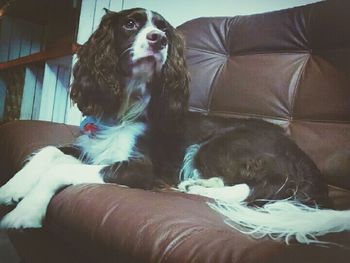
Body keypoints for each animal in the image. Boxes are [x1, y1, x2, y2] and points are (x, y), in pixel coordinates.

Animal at [0, 7, 350, 244]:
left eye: (164, 28)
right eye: (130, 24)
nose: (159, 40)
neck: (124, 108)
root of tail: (307, 163)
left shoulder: (139, 167)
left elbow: (59, 169)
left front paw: (26, 211)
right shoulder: (91, 146)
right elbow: (48, 150)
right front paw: (12, 188)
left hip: (222, 142)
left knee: (265, 186)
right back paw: (198, 186)